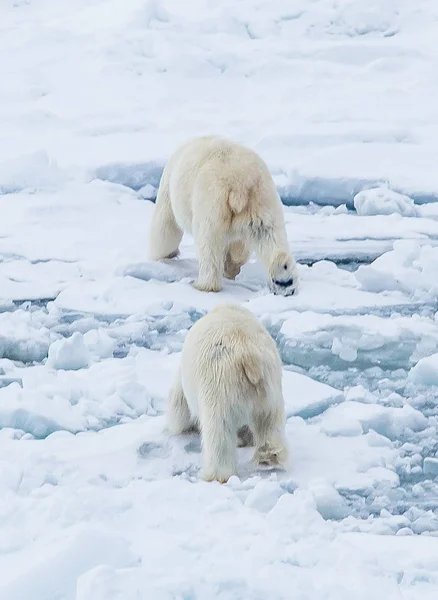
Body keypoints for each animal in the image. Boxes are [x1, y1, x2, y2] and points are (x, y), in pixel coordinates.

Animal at [147, 135, 298, 296]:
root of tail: (239, 182)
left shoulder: (169, 186)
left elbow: (165, 227)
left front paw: (163, 257)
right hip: (262, 199)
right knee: (269, 234)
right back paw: (284, 278)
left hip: (211, 200)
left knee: (208, 243)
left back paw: (203, 285)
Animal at [166, 304, 290, 482]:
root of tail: (248, 356)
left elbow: (179, 406)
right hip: (269, 386)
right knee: (269, 421)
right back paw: (268, 458)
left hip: (219, 385)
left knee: (218, 430)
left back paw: (215, 475)